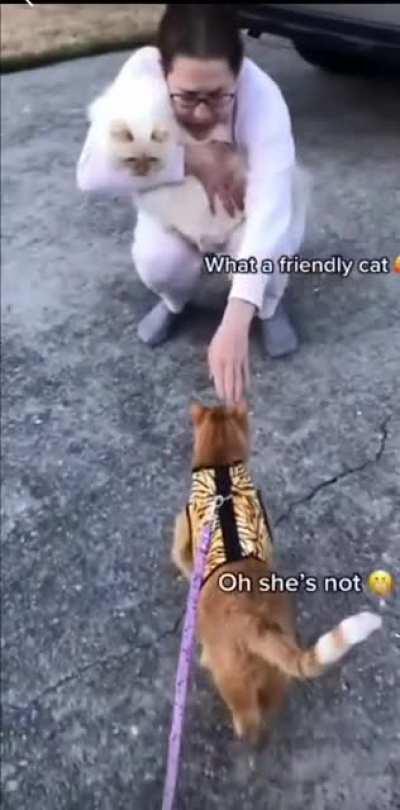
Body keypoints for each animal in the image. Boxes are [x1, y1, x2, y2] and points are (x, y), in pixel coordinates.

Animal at [171, 401, 382, 745]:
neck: (221, 473)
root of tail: (254, 623)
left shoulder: (184, 537)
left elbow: (185, 564)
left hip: (234, 681)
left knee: (247, 719)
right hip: (275, 672)